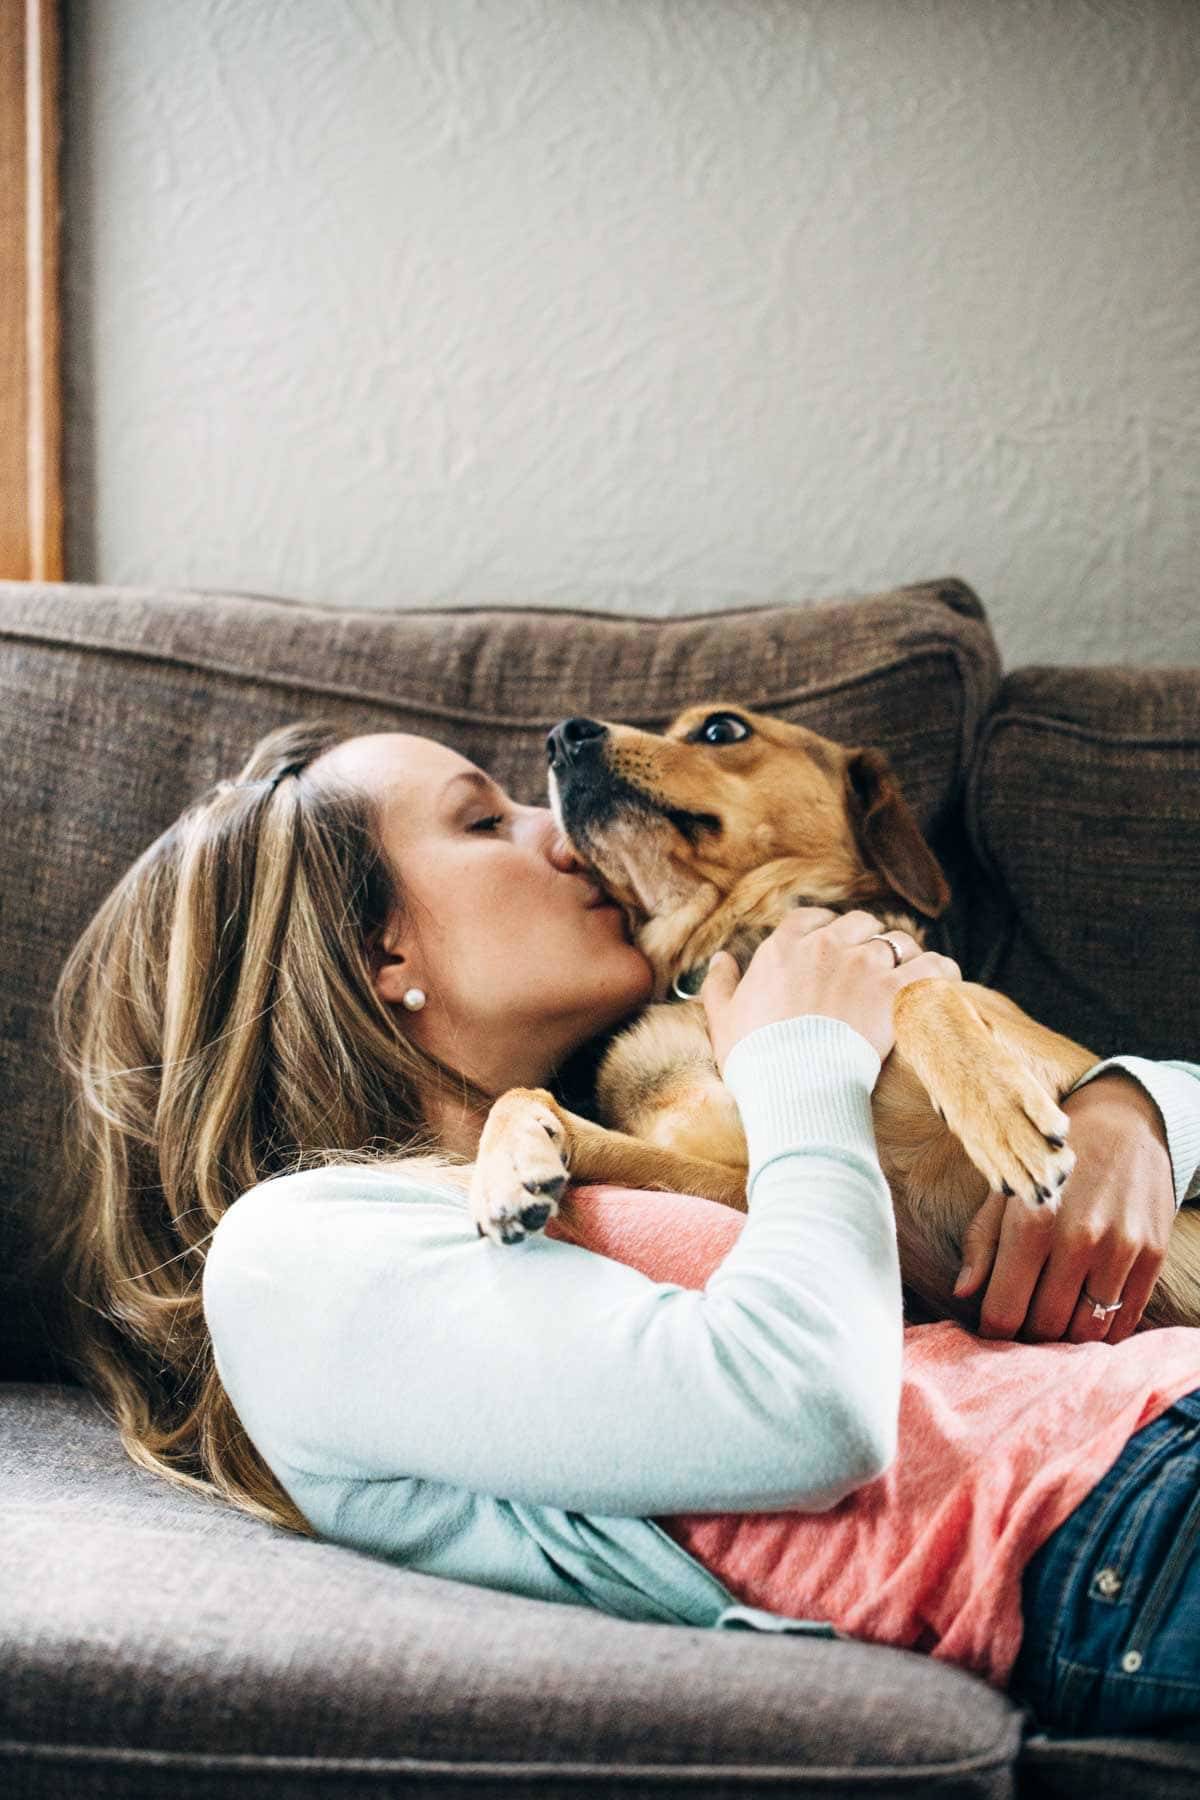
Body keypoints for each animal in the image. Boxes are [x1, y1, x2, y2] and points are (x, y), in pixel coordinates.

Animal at [467, 702, 1200, 1339]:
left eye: (722, 728)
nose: (561, 736)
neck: (735, 954)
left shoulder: (1052, 1059)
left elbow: (919, 988)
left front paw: (1002, 1116)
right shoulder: (799, 1204)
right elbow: (530, 1099)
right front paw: (509, 1164)